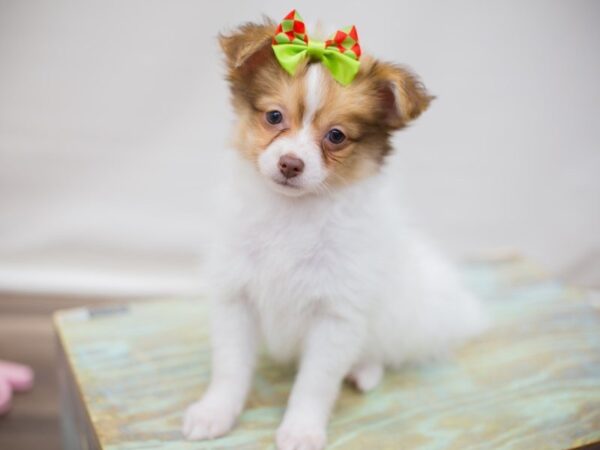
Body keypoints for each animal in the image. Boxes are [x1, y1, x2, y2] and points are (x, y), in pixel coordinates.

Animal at [183, 11, 488, 450]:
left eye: (336, 136)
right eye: (274, 117)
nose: (291, 164)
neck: (291, 216)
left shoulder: (337, 316)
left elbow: (314, 384)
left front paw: (301, 430)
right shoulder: (235, 298)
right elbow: (230, 368)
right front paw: (215, 413)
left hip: (395, 317)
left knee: (381, 350)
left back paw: (365, 370)